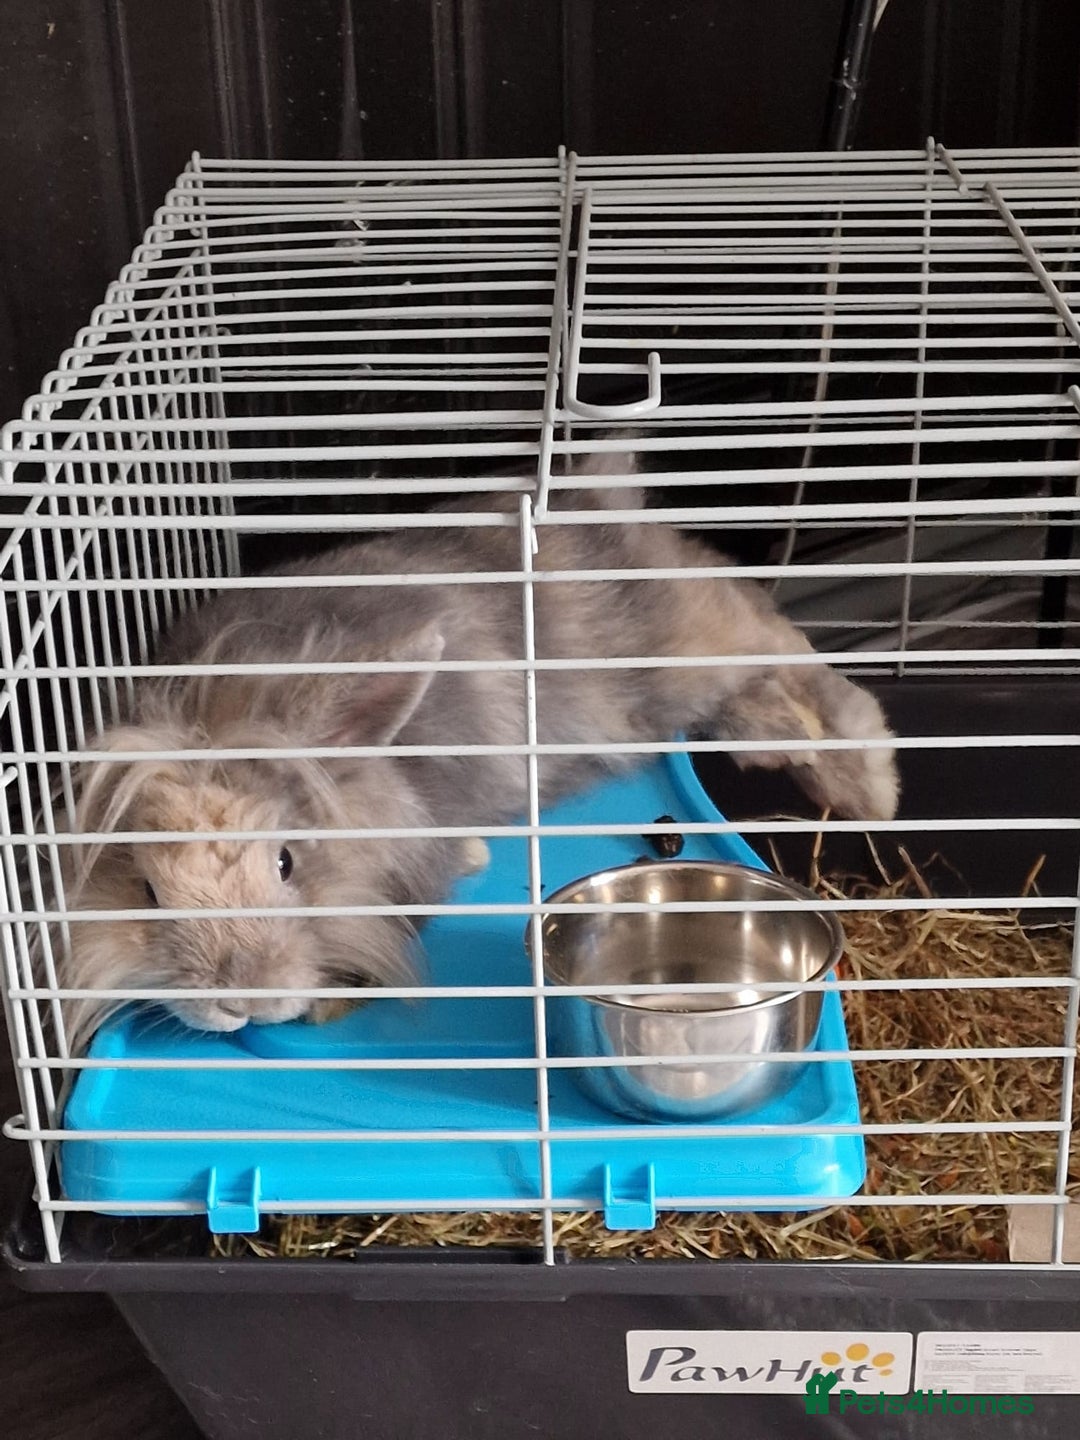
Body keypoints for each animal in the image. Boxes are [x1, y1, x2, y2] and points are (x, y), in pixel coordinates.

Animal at [61, 454, 898, 1045]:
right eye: (147, 892)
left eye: (288, 863)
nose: (240, 998)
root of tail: (598, 494)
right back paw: (781, 748)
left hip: (695, 641)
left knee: (788, 648)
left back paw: (869, 784)